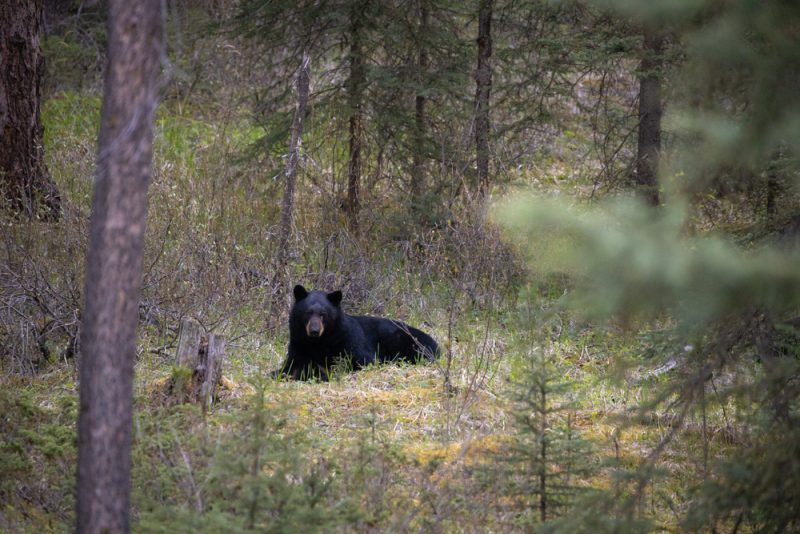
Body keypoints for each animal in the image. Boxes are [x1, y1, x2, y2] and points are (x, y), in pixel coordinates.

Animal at [274, 284, 438, 382]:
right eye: (308, 312)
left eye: (323, 314)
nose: (314, 331)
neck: (319, 342)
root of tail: (437, 346)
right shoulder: (299, 343)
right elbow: (290, 366)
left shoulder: (347, 340)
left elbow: (361, 360)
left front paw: (317, 373)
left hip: (403, 339)